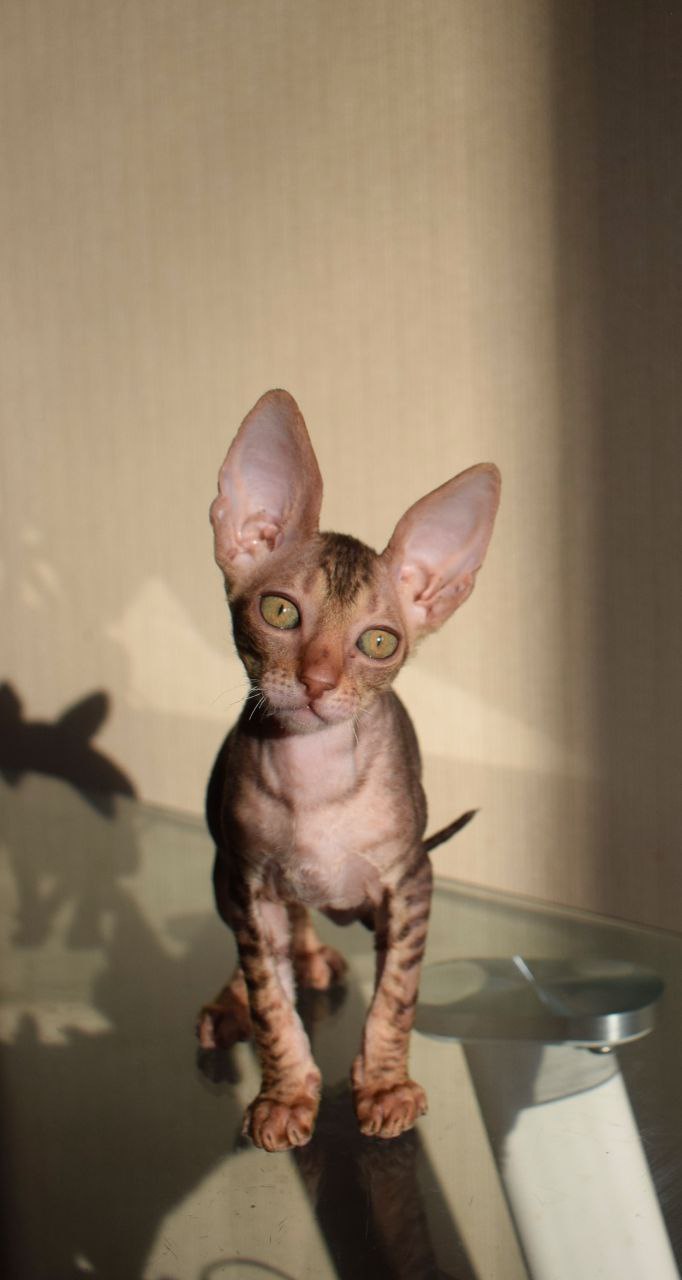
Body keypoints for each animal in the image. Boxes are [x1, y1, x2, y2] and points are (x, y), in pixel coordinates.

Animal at [197, 389, 500, 1152]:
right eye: (279, 611)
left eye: (379, 643)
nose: (317, 682)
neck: (315, 779)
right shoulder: (248, 884)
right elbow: (272, 1004)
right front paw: (284, 1094)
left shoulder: (411, 882)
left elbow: (396, 996)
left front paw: (385, 1085)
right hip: (224, 877)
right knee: (266, 949)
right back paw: (246, 993)